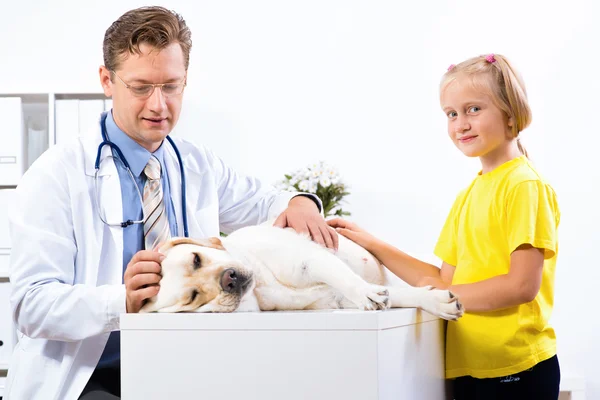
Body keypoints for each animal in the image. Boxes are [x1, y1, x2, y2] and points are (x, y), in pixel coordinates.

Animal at [139, 222, 464, 318]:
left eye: (196, 259)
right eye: (193, 297)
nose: (228, 280)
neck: (262, 286)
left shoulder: (312, 260)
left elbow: (349, 280)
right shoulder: (335, 300)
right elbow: (396, 295)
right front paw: (436, 301)